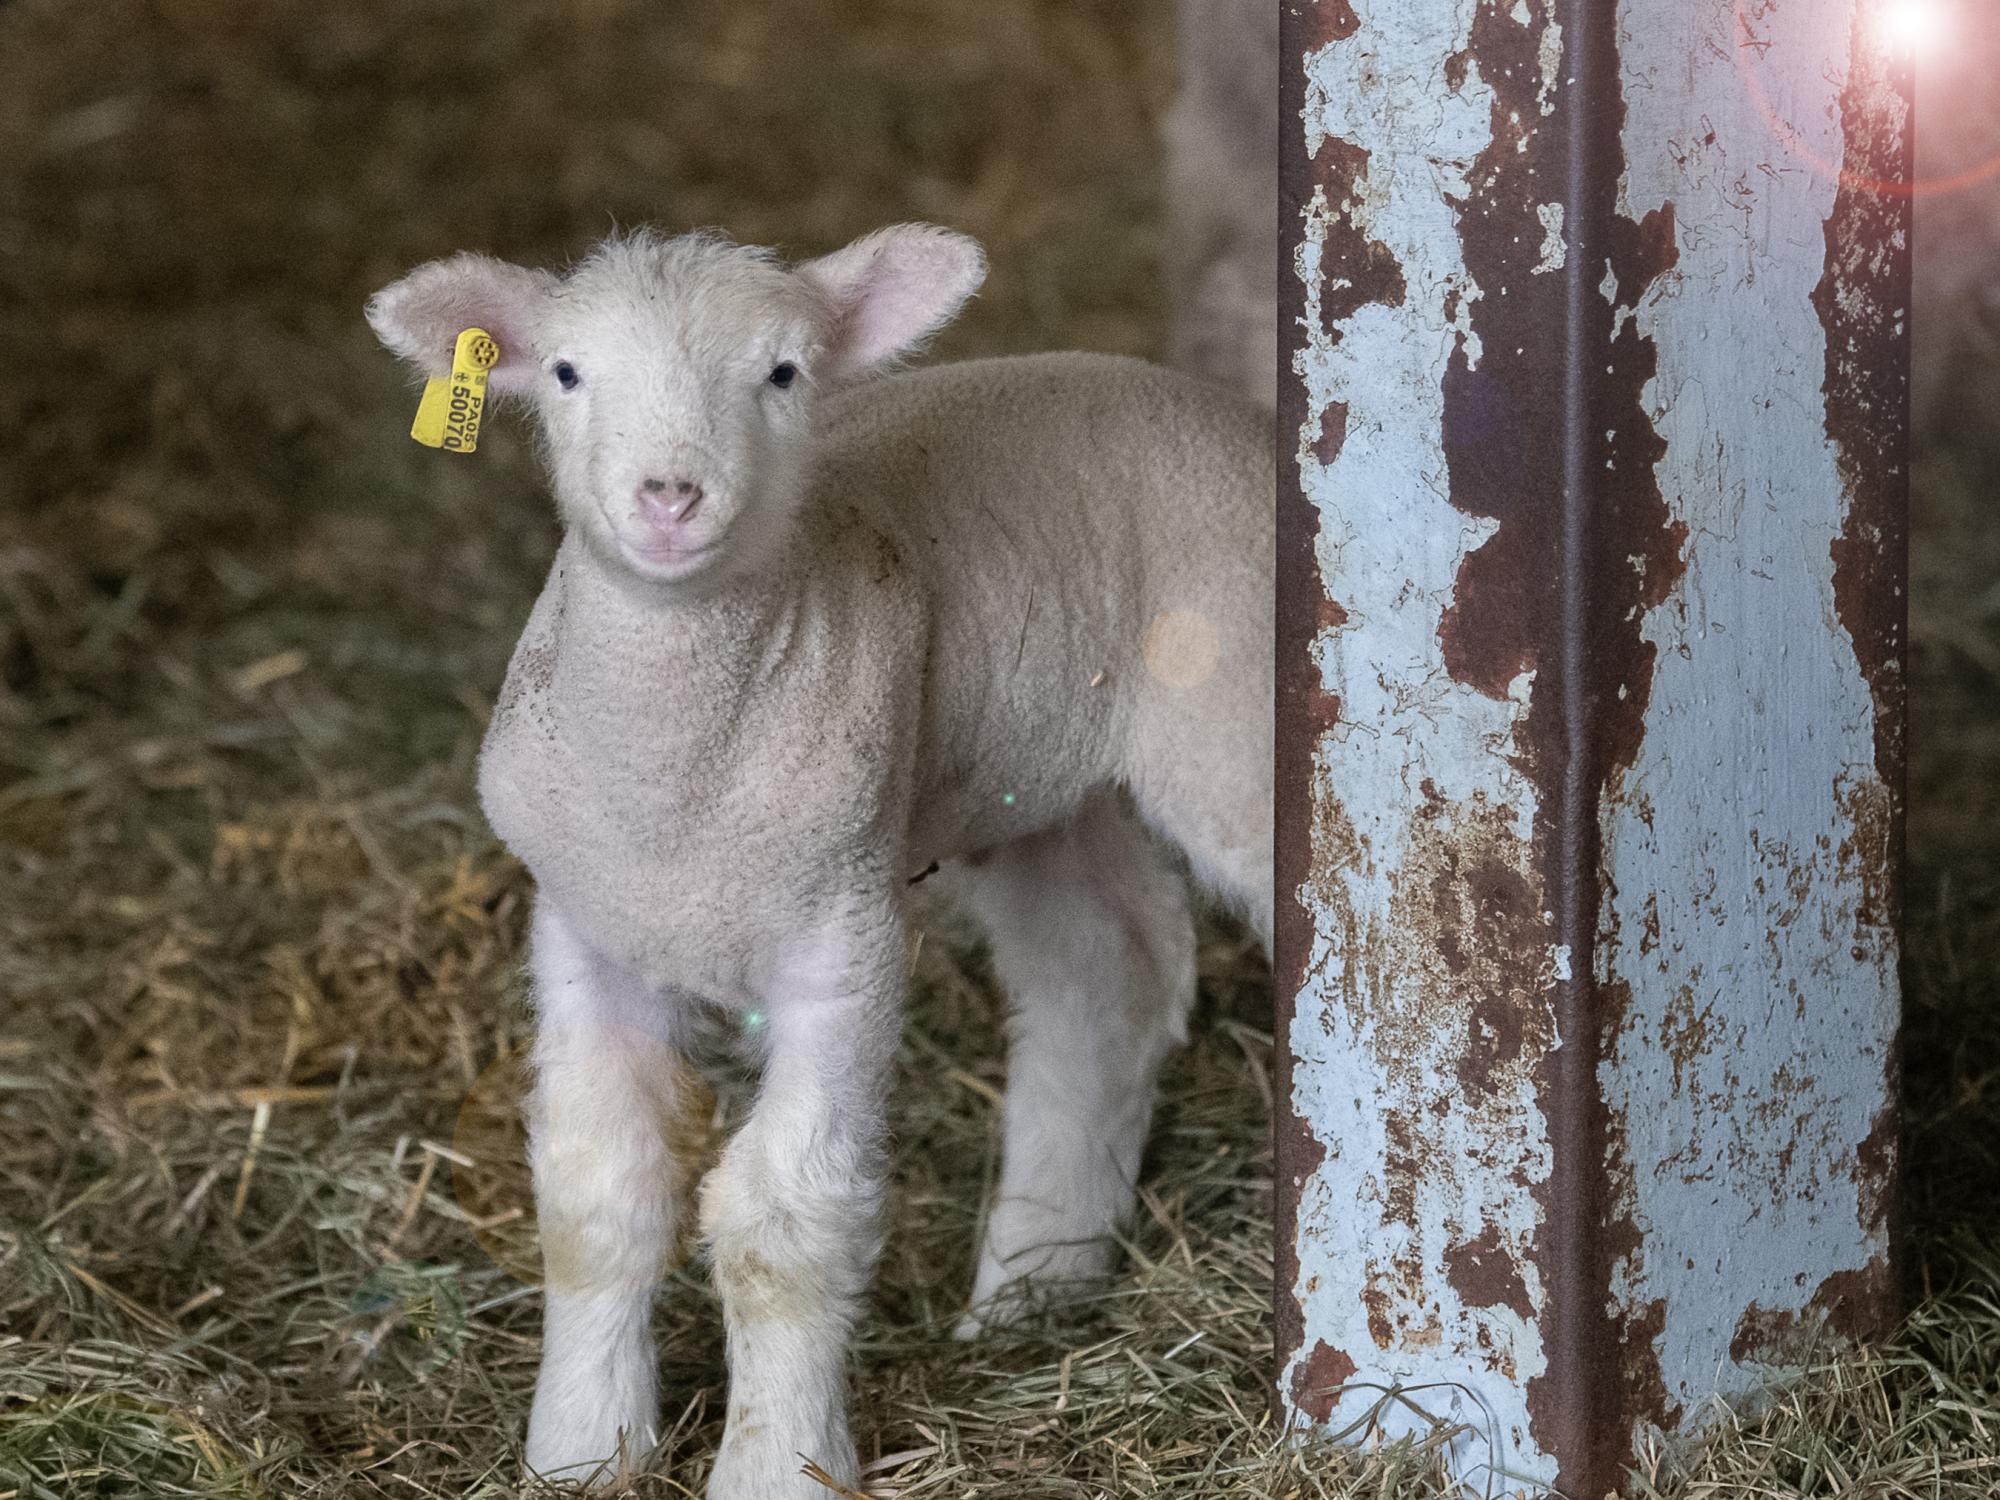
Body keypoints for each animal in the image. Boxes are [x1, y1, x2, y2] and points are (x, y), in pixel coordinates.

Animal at [367, 223, 1274, 1496]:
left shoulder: (838, 942)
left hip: (1236, 719)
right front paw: (578, 1448)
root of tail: (1227, 413)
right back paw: (1036, 1283)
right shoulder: (585, 927)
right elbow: (599, 1191)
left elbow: (781, 1221)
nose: (668, 495)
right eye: (566, 373)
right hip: (1024, 782)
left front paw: (777, 1463)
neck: (675, 791)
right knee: (1109, 972)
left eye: (784, 373)